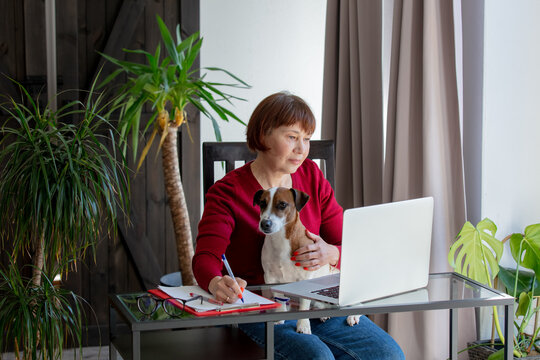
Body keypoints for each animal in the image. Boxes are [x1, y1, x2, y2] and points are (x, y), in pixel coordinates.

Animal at [253, 187, 358, 334]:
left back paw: (353, 315)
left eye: (282, 204)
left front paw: (303, 325)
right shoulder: (270, 278)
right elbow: (279, 298)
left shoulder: (304, 277)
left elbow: (304, 305)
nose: (265, 224)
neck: (281, 239)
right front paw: (280, 318)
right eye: (262, 203)